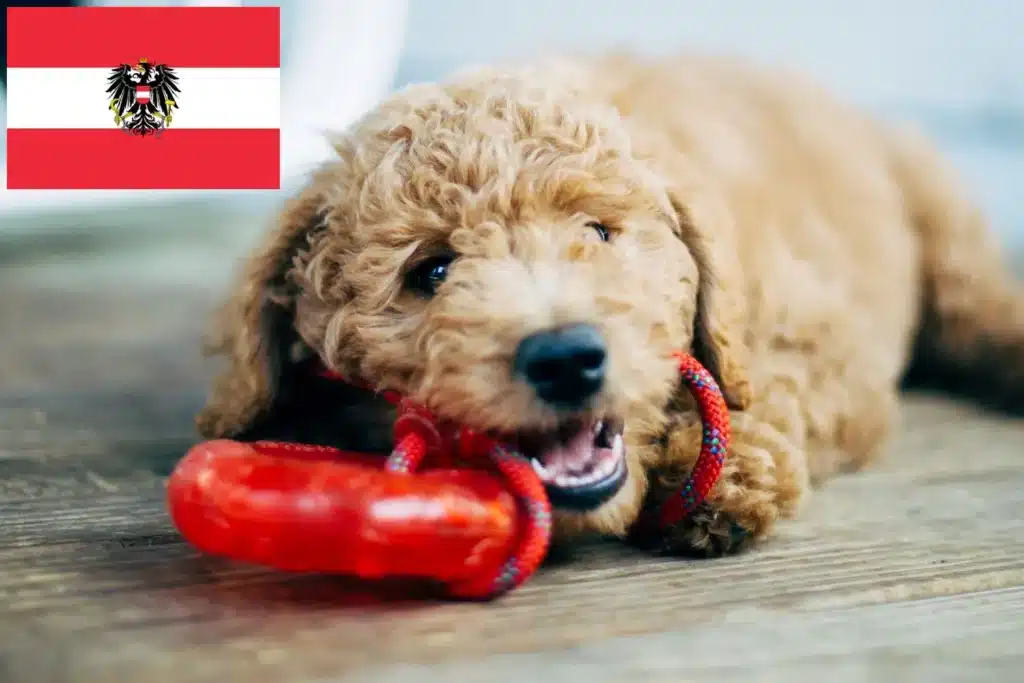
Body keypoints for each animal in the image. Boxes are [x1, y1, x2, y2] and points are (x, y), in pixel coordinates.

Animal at [193, 52, 1024, 557]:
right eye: (431, 270)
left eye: (598, 232)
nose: (565, 357)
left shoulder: (826, 332)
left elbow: (769, 380)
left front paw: (724, 472)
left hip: (937, 213)